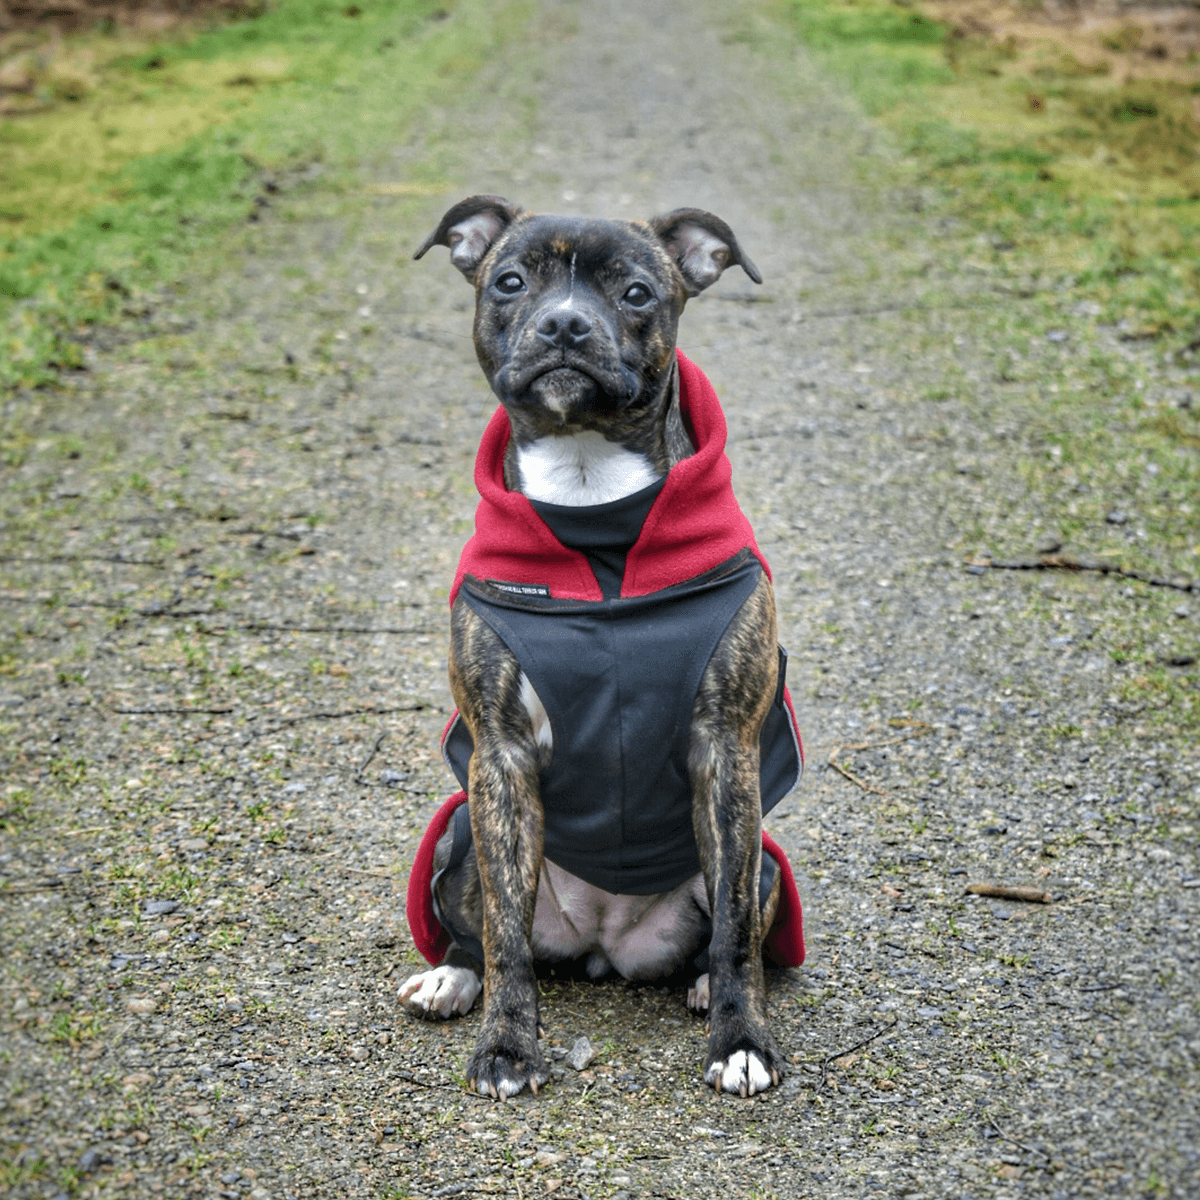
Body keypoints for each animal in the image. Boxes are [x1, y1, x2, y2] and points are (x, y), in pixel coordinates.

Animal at [398, 194, 801, 1099]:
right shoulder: (501, 755)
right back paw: (452, 978)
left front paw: (742, 1039)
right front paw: (507, 1046)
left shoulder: (726, 749)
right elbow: (506, 936)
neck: (592, 506)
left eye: (637, 291)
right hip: (460, 832)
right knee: (488, 930)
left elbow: (734, 934)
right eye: (511, 281)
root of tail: (603, 945)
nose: (565, 324)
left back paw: (703, 988)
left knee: (727, 932)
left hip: (760, 860)